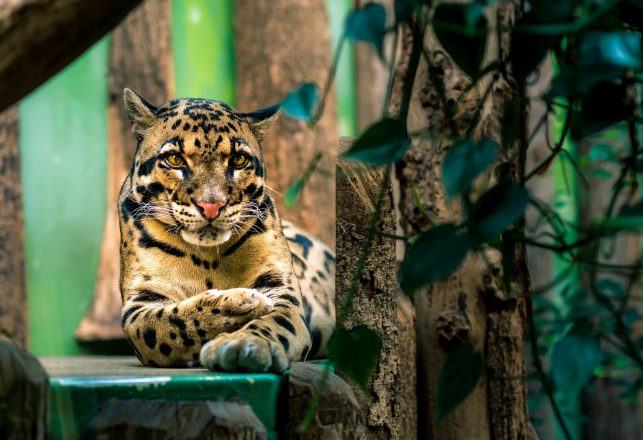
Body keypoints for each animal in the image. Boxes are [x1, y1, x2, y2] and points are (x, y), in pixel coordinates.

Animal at [117, 89, 334, 372]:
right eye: (175, 159)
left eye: (238, 160)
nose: (211, 205)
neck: (207, 258)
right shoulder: (140, 302)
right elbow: (173, 323)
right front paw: (239, 304)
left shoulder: (280, 288)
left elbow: (275, 321)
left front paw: (244, 344)